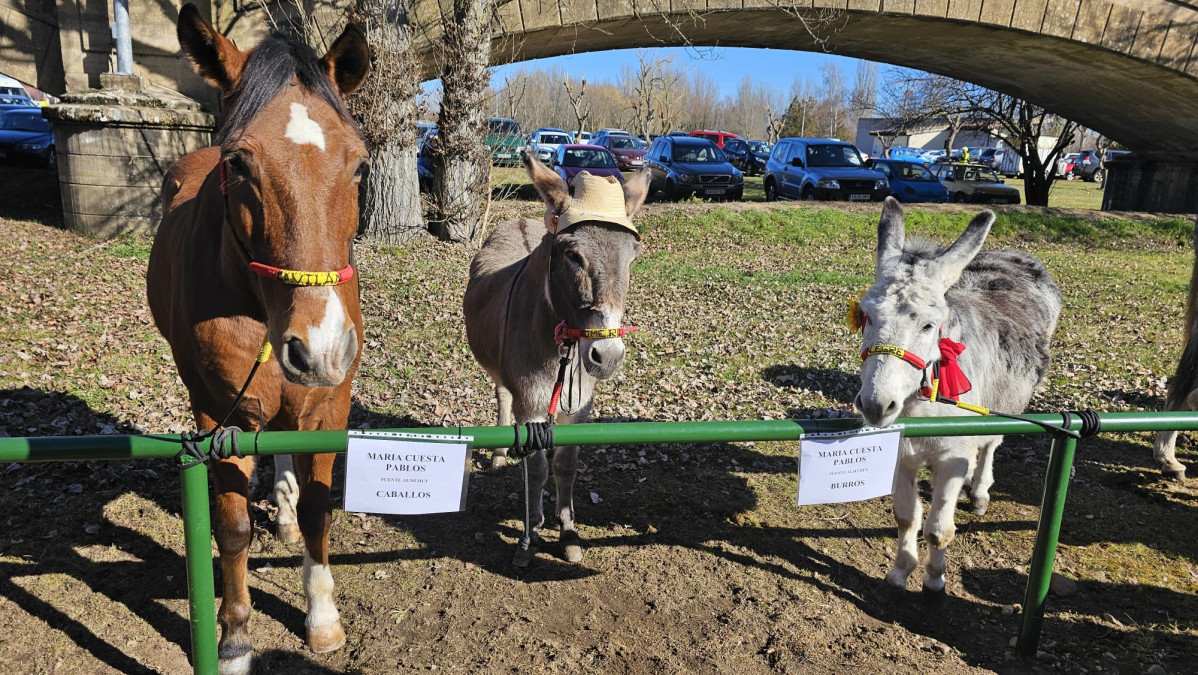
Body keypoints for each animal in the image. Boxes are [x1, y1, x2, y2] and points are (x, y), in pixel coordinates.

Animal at [147, 5, 368, 671]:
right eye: (240, 164)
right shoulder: (219, 416)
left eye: (360, 164)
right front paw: (236, 636)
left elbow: (321, 511)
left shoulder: (328, 404)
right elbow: (232, 527)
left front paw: (322, 619)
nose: (320, 346)